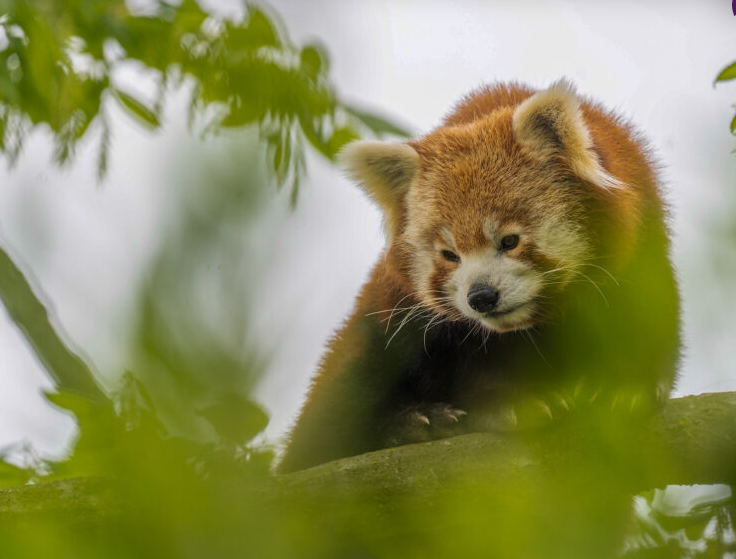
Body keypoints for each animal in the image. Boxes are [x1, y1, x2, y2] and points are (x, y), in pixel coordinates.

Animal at [278, 79, 680, 472]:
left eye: (509, 241)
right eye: (450, 255)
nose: (481, 297)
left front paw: (626, 386)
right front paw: (514, 404)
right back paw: (415, 424)